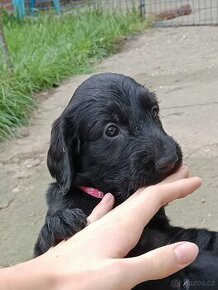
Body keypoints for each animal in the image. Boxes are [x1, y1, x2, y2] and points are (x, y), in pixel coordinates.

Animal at [34, 72, 218, 288]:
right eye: (111, 130)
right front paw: (60, 223)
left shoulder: (167, 230)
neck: (116, 197)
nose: (170, 159)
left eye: (154, 111)